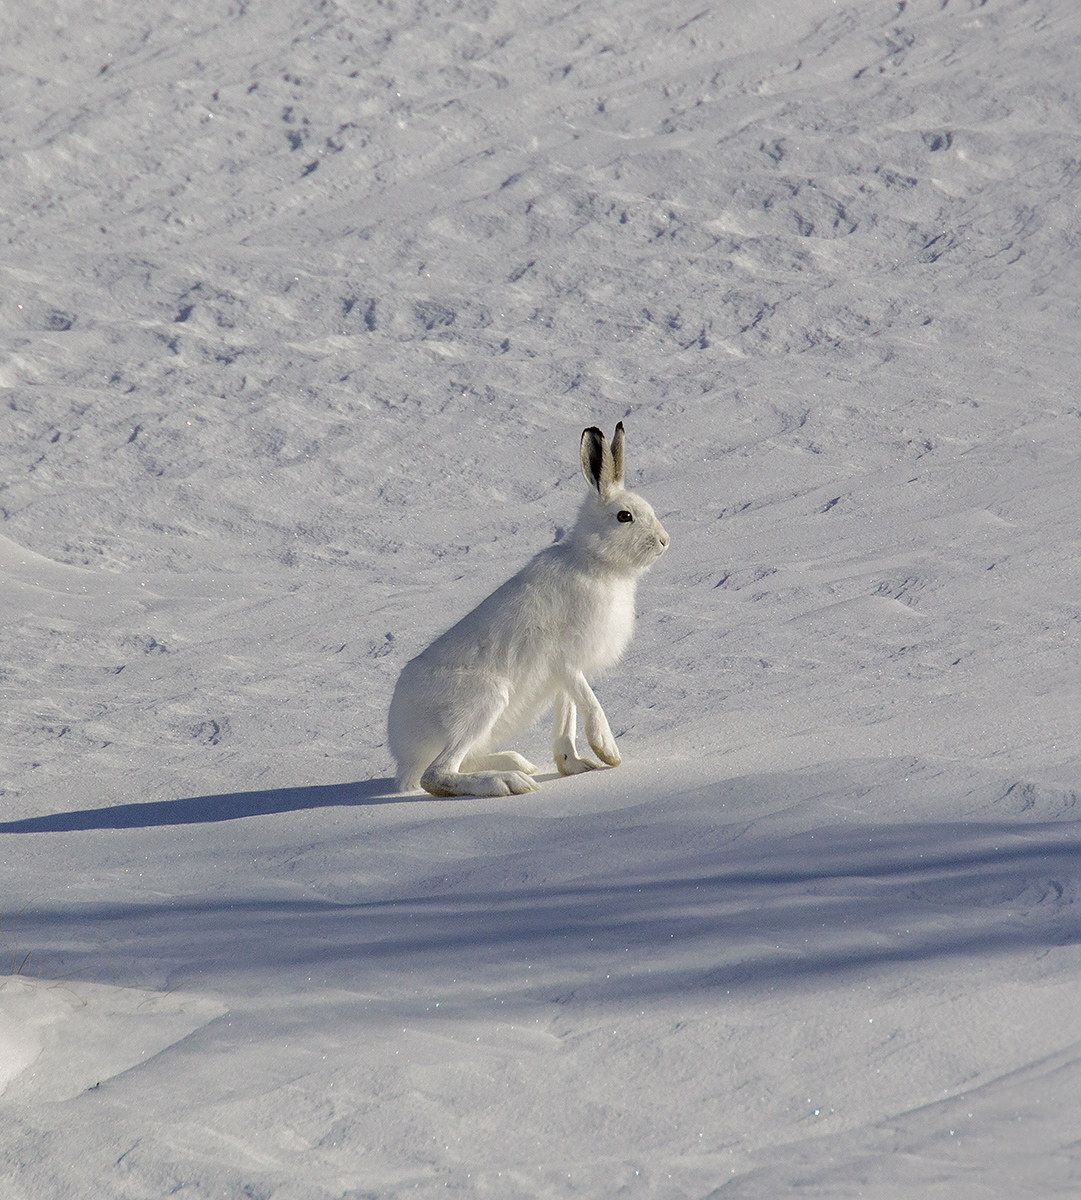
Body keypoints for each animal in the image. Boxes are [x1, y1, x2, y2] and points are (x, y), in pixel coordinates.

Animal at [387, 422, 669, 797]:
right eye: (625, 516)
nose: (665, 541)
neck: (595, 561)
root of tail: (401, 744)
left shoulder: (563, 678)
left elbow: (567, 717)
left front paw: (576, 765)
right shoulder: (566, 659)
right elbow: (589, 704)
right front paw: (608, 751)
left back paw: (517, 763)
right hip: (483, 702)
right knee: (437, 774)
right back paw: (507, 782)